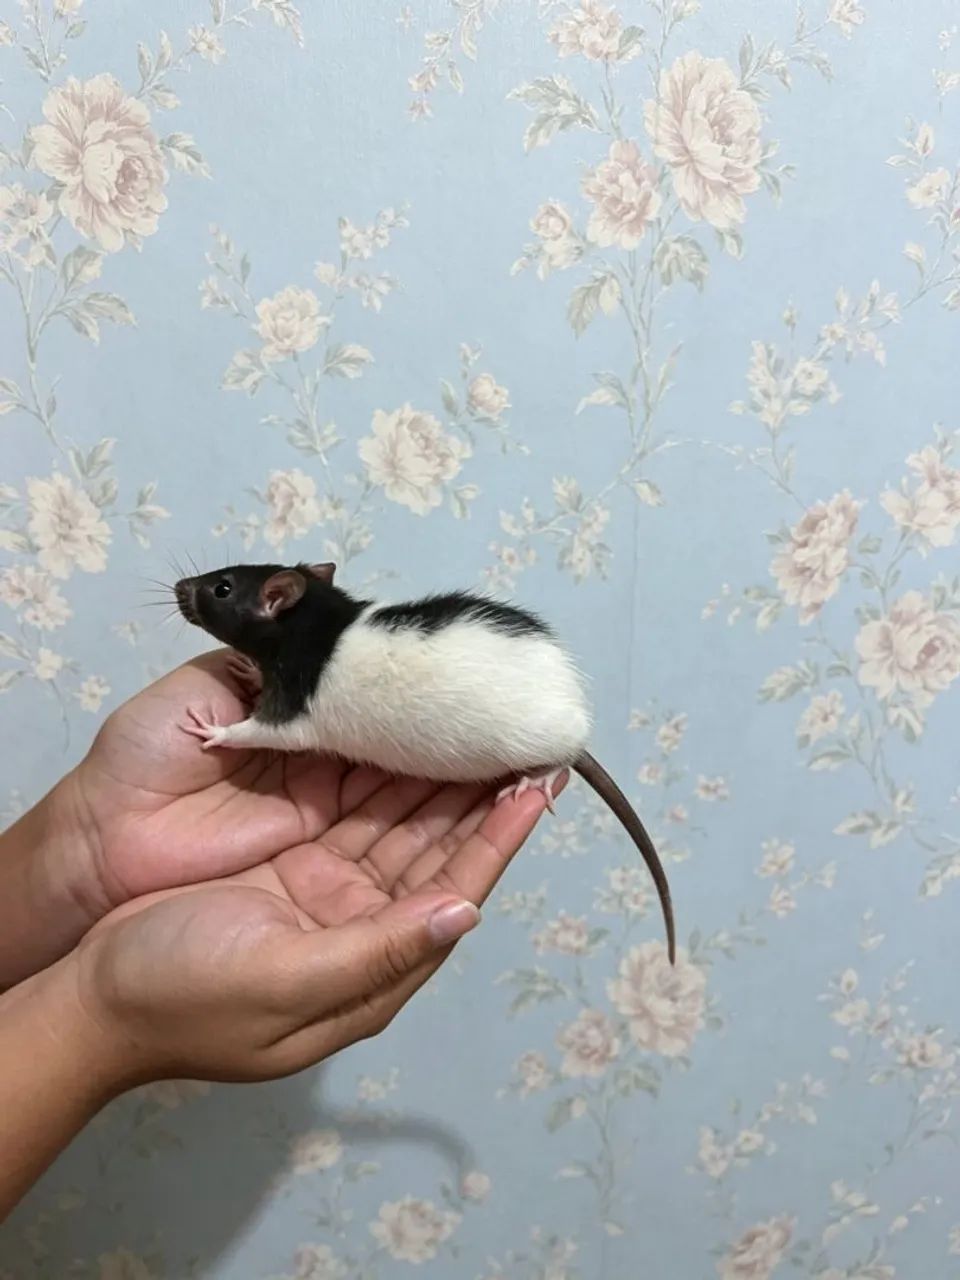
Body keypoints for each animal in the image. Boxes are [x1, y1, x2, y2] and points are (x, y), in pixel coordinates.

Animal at [174, 561, 676, 963]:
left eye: (222, 587)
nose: (179, 585)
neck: (318, 617)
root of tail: (571, 716)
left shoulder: (291, 710)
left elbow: (262, 731)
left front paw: (216, 732)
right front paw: (246, 670)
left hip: (542, 746)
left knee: (561, 761)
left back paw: (538, 778)